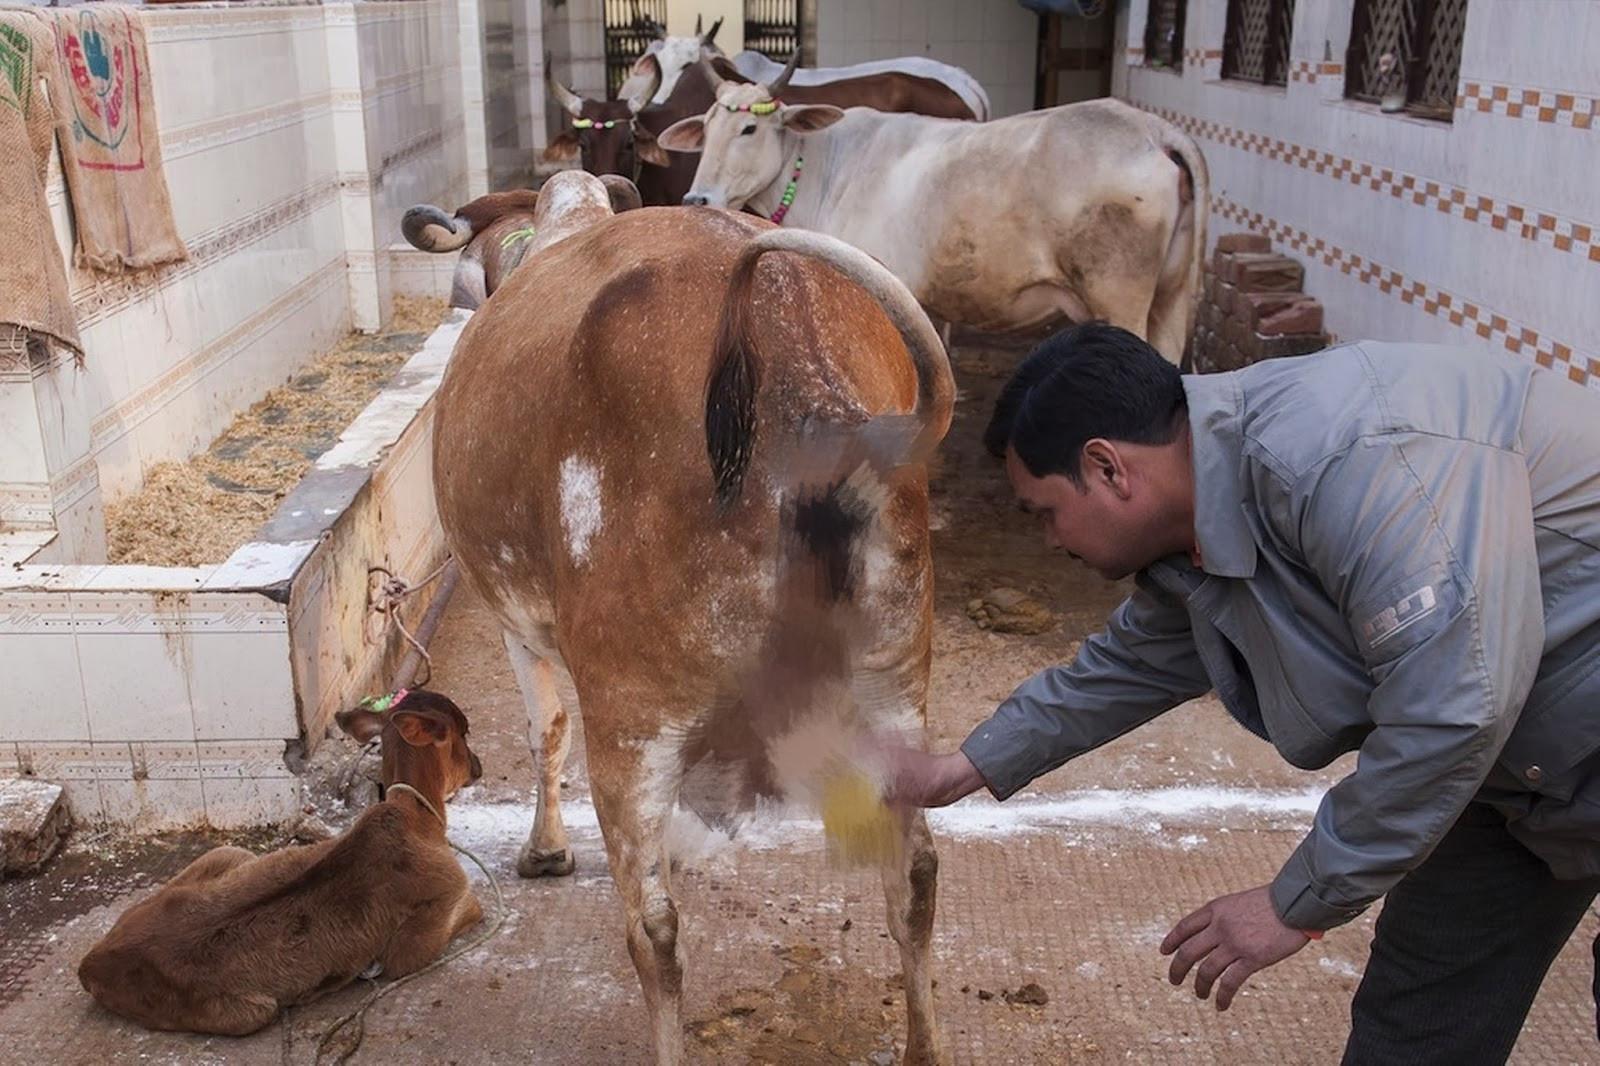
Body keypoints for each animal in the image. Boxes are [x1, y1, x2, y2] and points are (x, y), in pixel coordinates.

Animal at [78, 688, 483, 1030]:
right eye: (464, 732)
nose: (478, 766)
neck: (419, 818)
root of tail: (90, 964)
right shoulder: (424, 929)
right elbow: (473, 912)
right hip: (251, 1014)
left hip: (227, 853)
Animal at [432, 170, 953, 1056]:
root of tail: (811, 399)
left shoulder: (516, 620)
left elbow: (544, 729)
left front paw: (546, 850)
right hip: (895, 682)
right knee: (913, 872)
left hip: (632, 717)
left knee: (655, 931)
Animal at [662, 71, 1209, 361]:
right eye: (706, 128)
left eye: (750, 129)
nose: (698, 200)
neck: (823, 165)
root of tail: (1152, 129)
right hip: (1170, 299)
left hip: (1120, 297)